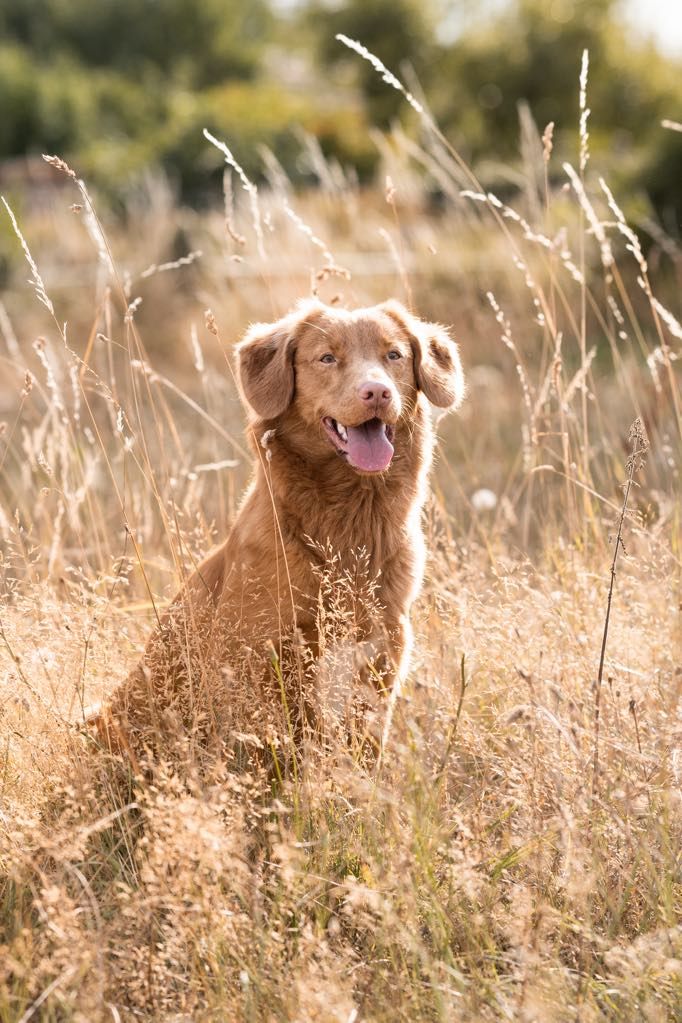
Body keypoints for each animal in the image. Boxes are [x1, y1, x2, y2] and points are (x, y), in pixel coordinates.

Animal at [94, 296, 464, 761]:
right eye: (327, 358)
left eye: (394, 355)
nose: (377, 392)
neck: (347, 520)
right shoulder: (258, 651)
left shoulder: (384, 643)